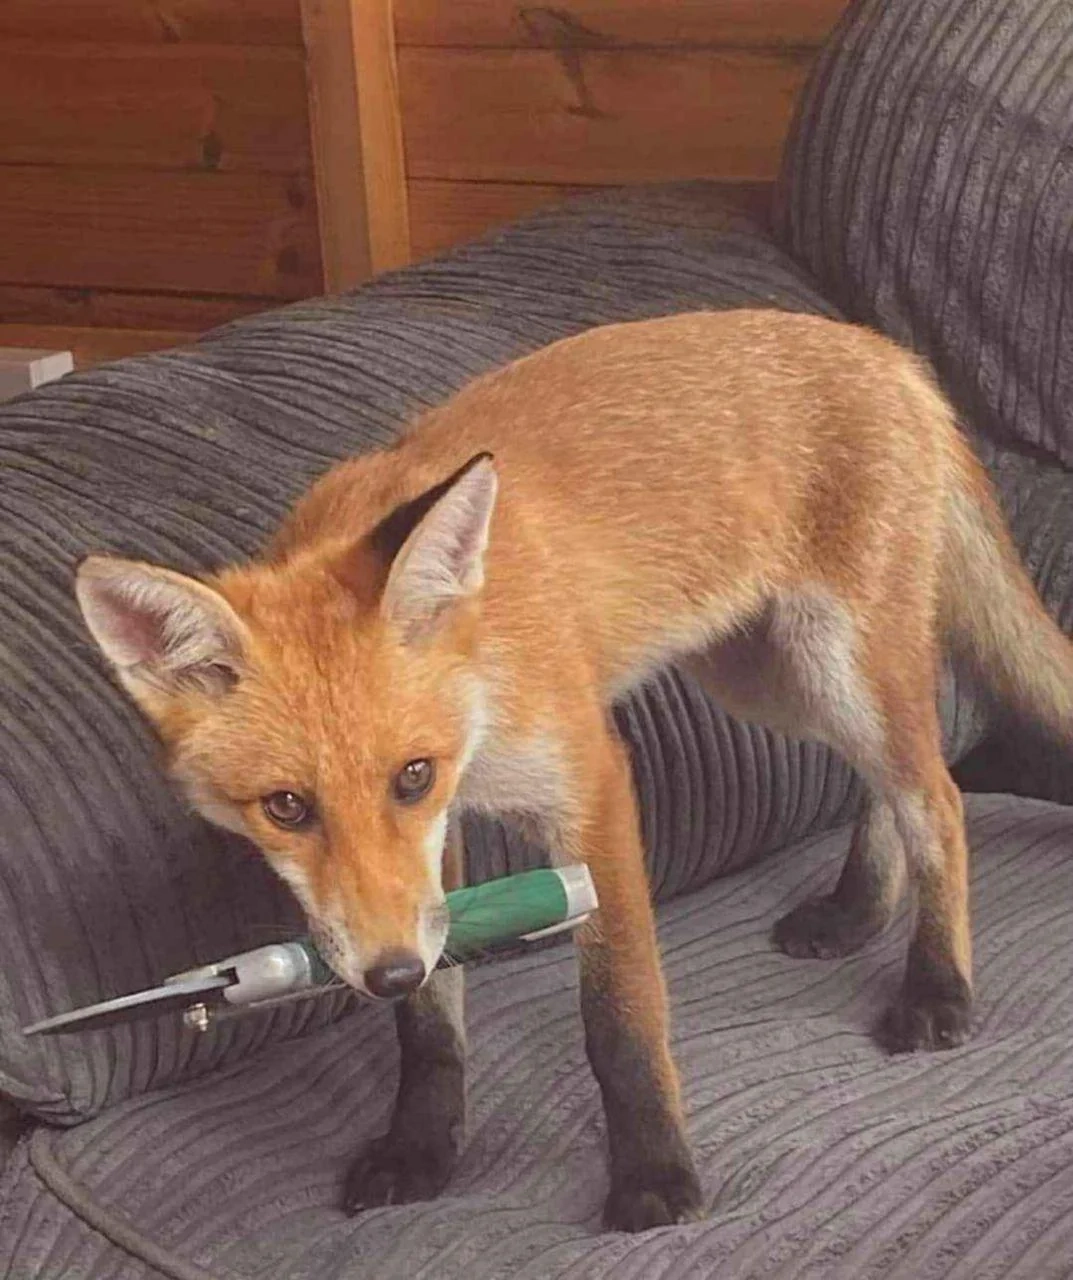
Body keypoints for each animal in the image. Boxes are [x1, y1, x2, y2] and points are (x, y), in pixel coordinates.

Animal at [73, 310, 1073, 1232]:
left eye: (408, 776)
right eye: (286, 807)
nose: (385, 971)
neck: (480, 697)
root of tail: (885, 349)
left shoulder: (588, 789)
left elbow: (619, 1019)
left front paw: (652, 1176)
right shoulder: (435, 854)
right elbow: (431, 1021)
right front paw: (421, 1145)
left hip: (832, 663)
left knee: (937, 795)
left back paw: (936, 986)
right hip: (767, 679)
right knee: (906, 773)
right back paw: (859, 907)